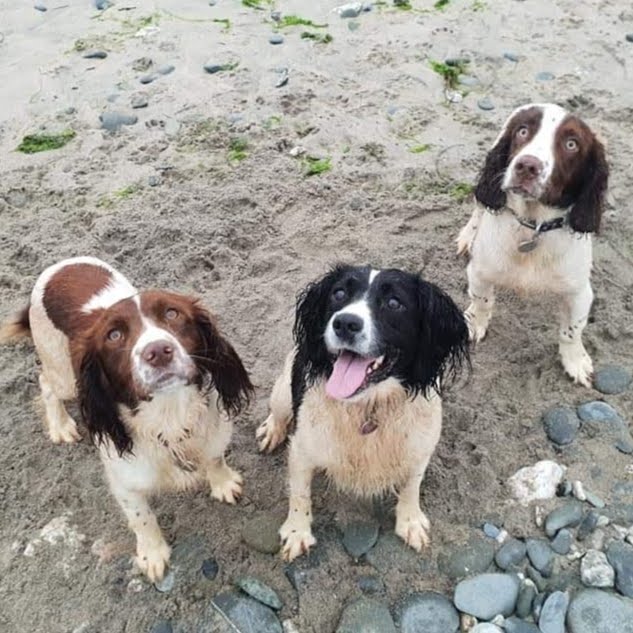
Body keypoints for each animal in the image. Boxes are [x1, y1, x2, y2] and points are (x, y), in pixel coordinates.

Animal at [460, 102, 608, 386]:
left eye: (571, 144)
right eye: (523, 131)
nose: (527, 166)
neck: (533, 227)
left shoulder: (580, 293)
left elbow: (572, 330)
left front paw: (575, 361)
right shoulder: (480, 272)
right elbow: (482, 300)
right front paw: (474, 324)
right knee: (480, 207)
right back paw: (467, 235)